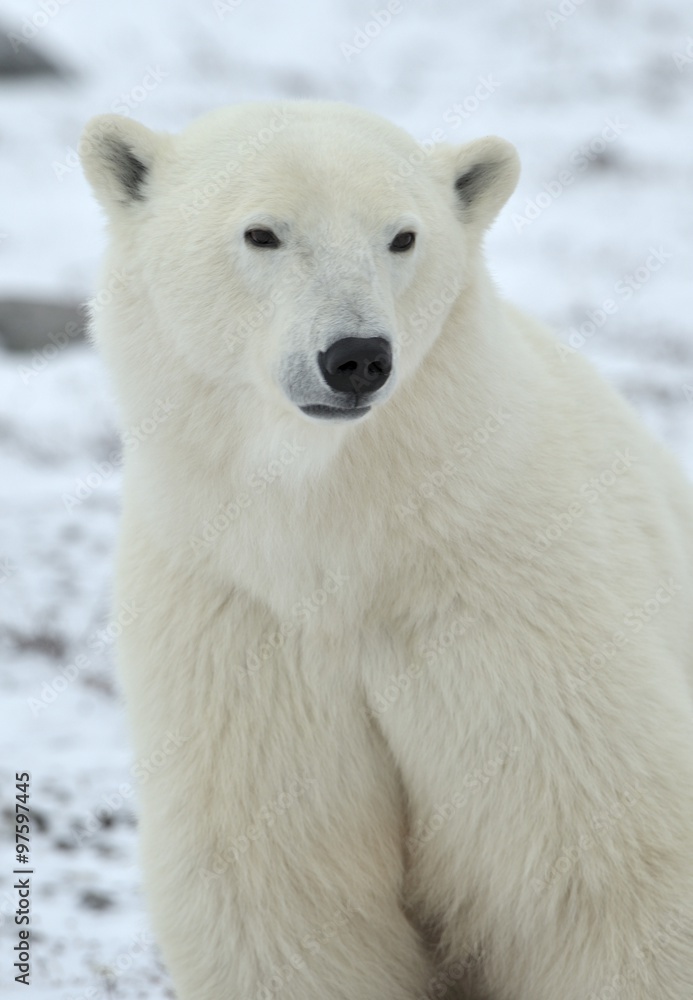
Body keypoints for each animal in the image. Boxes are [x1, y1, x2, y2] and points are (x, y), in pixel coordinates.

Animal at [79, 103, 692, 1000]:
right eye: (262, 232)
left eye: (402, 236)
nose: (356, 357)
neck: (352, 537)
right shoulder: (242, 622)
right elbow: (283, 893)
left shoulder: (512, 610)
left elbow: (602, 868)